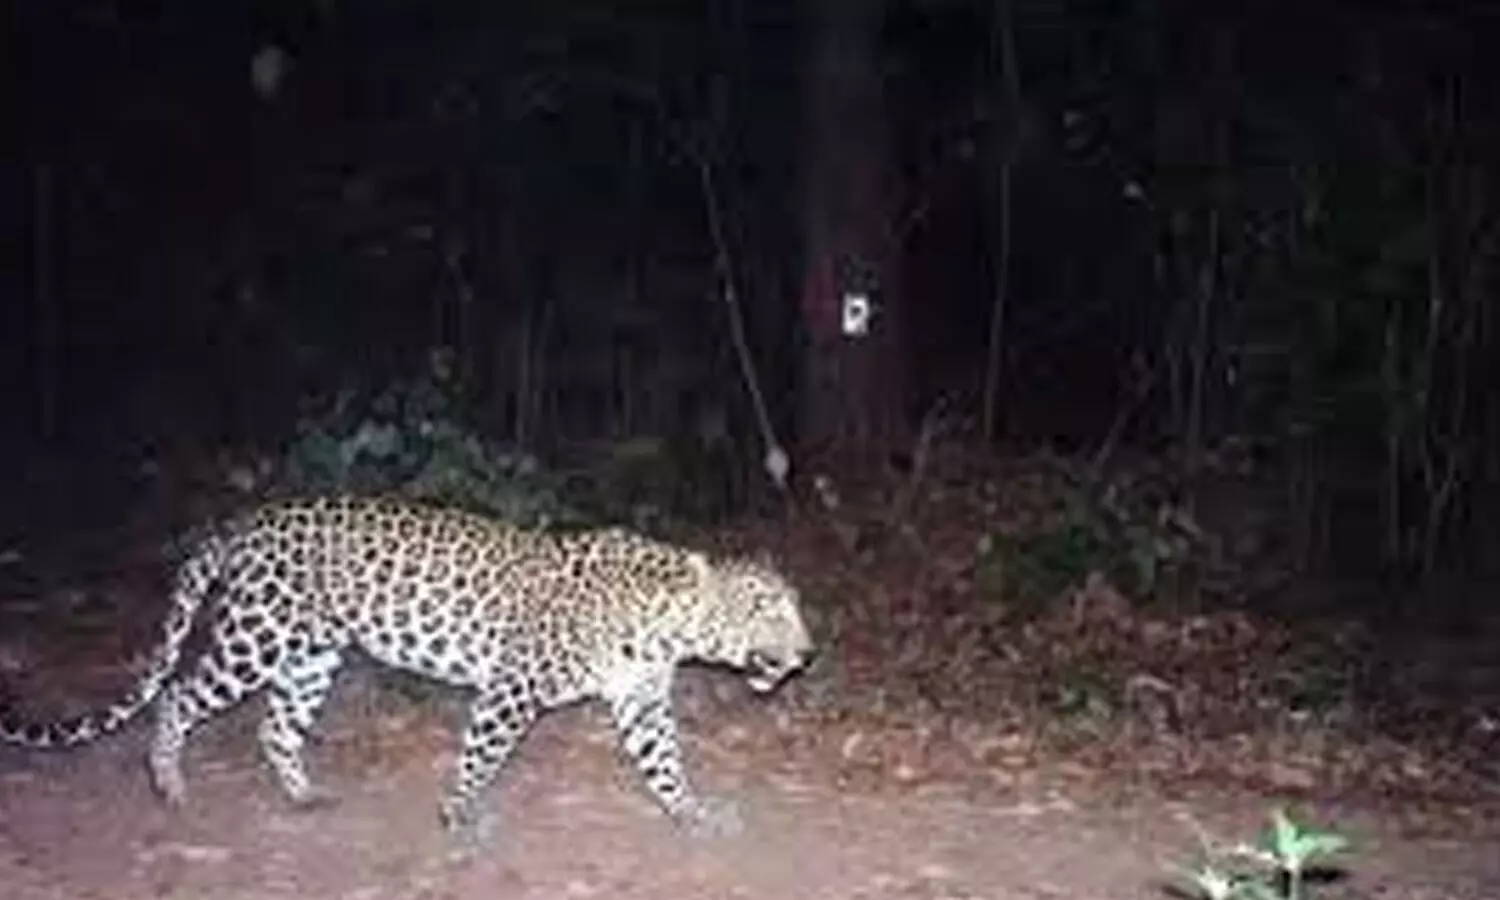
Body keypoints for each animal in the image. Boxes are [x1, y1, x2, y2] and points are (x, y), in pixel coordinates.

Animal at [0, 495, 814, 846]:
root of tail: (245, 521)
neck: (664, 624)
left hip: (311, 655)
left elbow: (665, 764)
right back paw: (168, 784)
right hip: (253, 640)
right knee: (174, 694)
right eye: (763, 608)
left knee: (275, 727)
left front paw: (692, 814)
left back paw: (303, 797)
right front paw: (457, 813)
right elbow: (481, 755)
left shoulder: (640, 703)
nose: (807, 653)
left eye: (796, 609)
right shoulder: (511, 689)